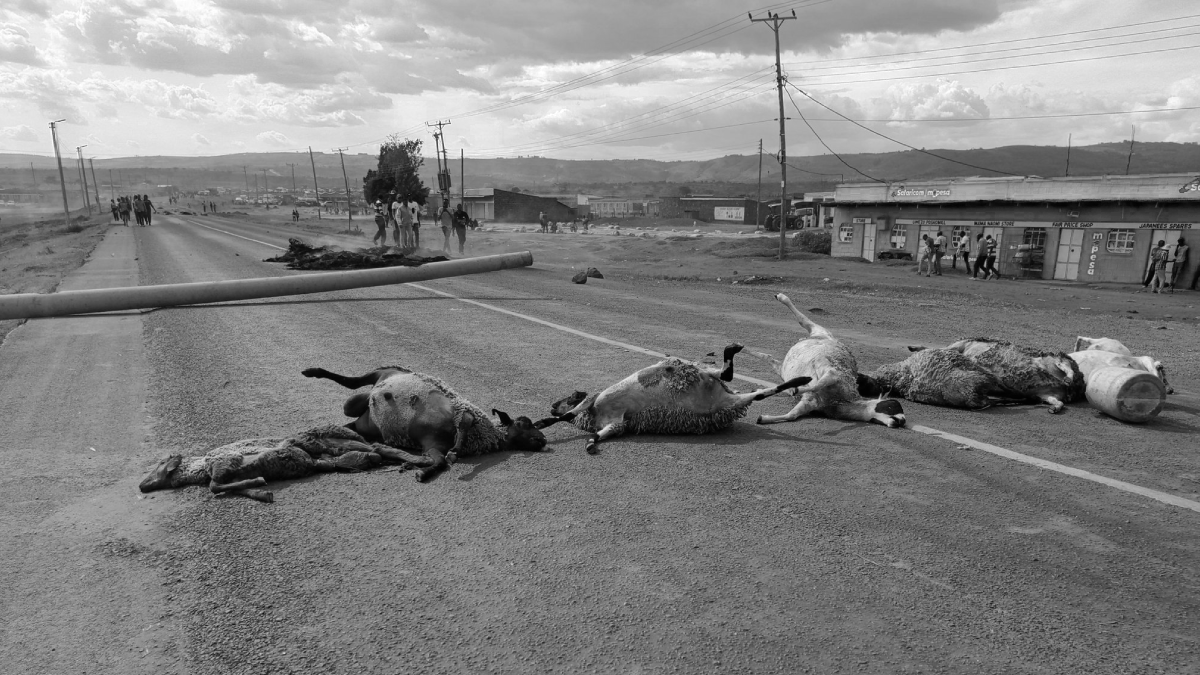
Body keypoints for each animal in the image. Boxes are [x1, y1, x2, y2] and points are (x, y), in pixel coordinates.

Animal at [302, 362, 547, 478]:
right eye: (522, 424)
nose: (543, 439)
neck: (482, 434)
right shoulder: (459, 411)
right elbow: (465, 421)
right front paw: (453, 453)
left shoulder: (432, 444)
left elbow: (438, 461)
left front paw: (421, 469)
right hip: (378, 375)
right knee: (353, 384)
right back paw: (313, 372)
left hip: (364, 417)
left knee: (353, 413)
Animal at [535, 341, 806, 451]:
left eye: (568, 395)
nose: (551, 405)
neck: (595, 413)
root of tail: (725, 400)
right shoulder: (615, 424)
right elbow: (599, 435)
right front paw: (591, 444)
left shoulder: (591, 401)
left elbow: (563, 416)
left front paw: (540, 423)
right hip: (720, 394)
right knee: (755, 392)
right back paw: (801, 381)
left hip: (701, 374)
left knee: (726, 373)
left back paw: (734, 348)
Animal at [744, 293, 902, 425]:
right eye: (892, 406)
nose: (899, 422)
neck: (838, 400)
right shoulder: (832, 374)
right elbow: (817, 383)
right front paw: (797, 389)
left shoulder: (810, 403)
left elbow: (792, 415)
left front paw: (763, 418)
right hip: (820, 331)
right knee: (803, 321)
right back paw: (781, 297)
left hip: (783, 368)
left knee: (769, 358)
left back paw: (741, 347)